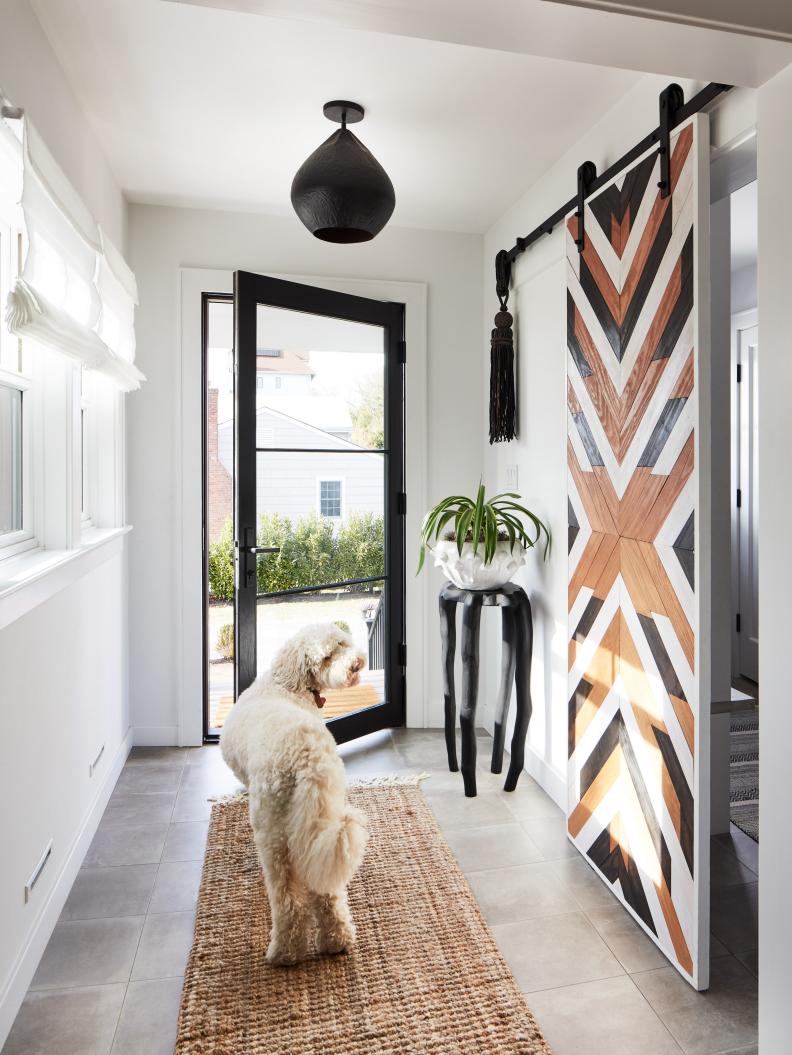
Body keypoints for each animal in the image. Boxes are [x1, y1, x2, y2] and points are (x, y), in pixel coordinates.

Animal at [220, 624, 369, 966]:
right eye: (327, 656)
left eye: (342, 644)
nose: (355, 664)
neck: (288, 683)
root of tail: (306, 756)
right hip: (323, 814)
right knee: (327, 891)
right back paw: (337, 940)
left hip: (273, 834)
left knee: (288, 898)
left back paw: (285, 953)